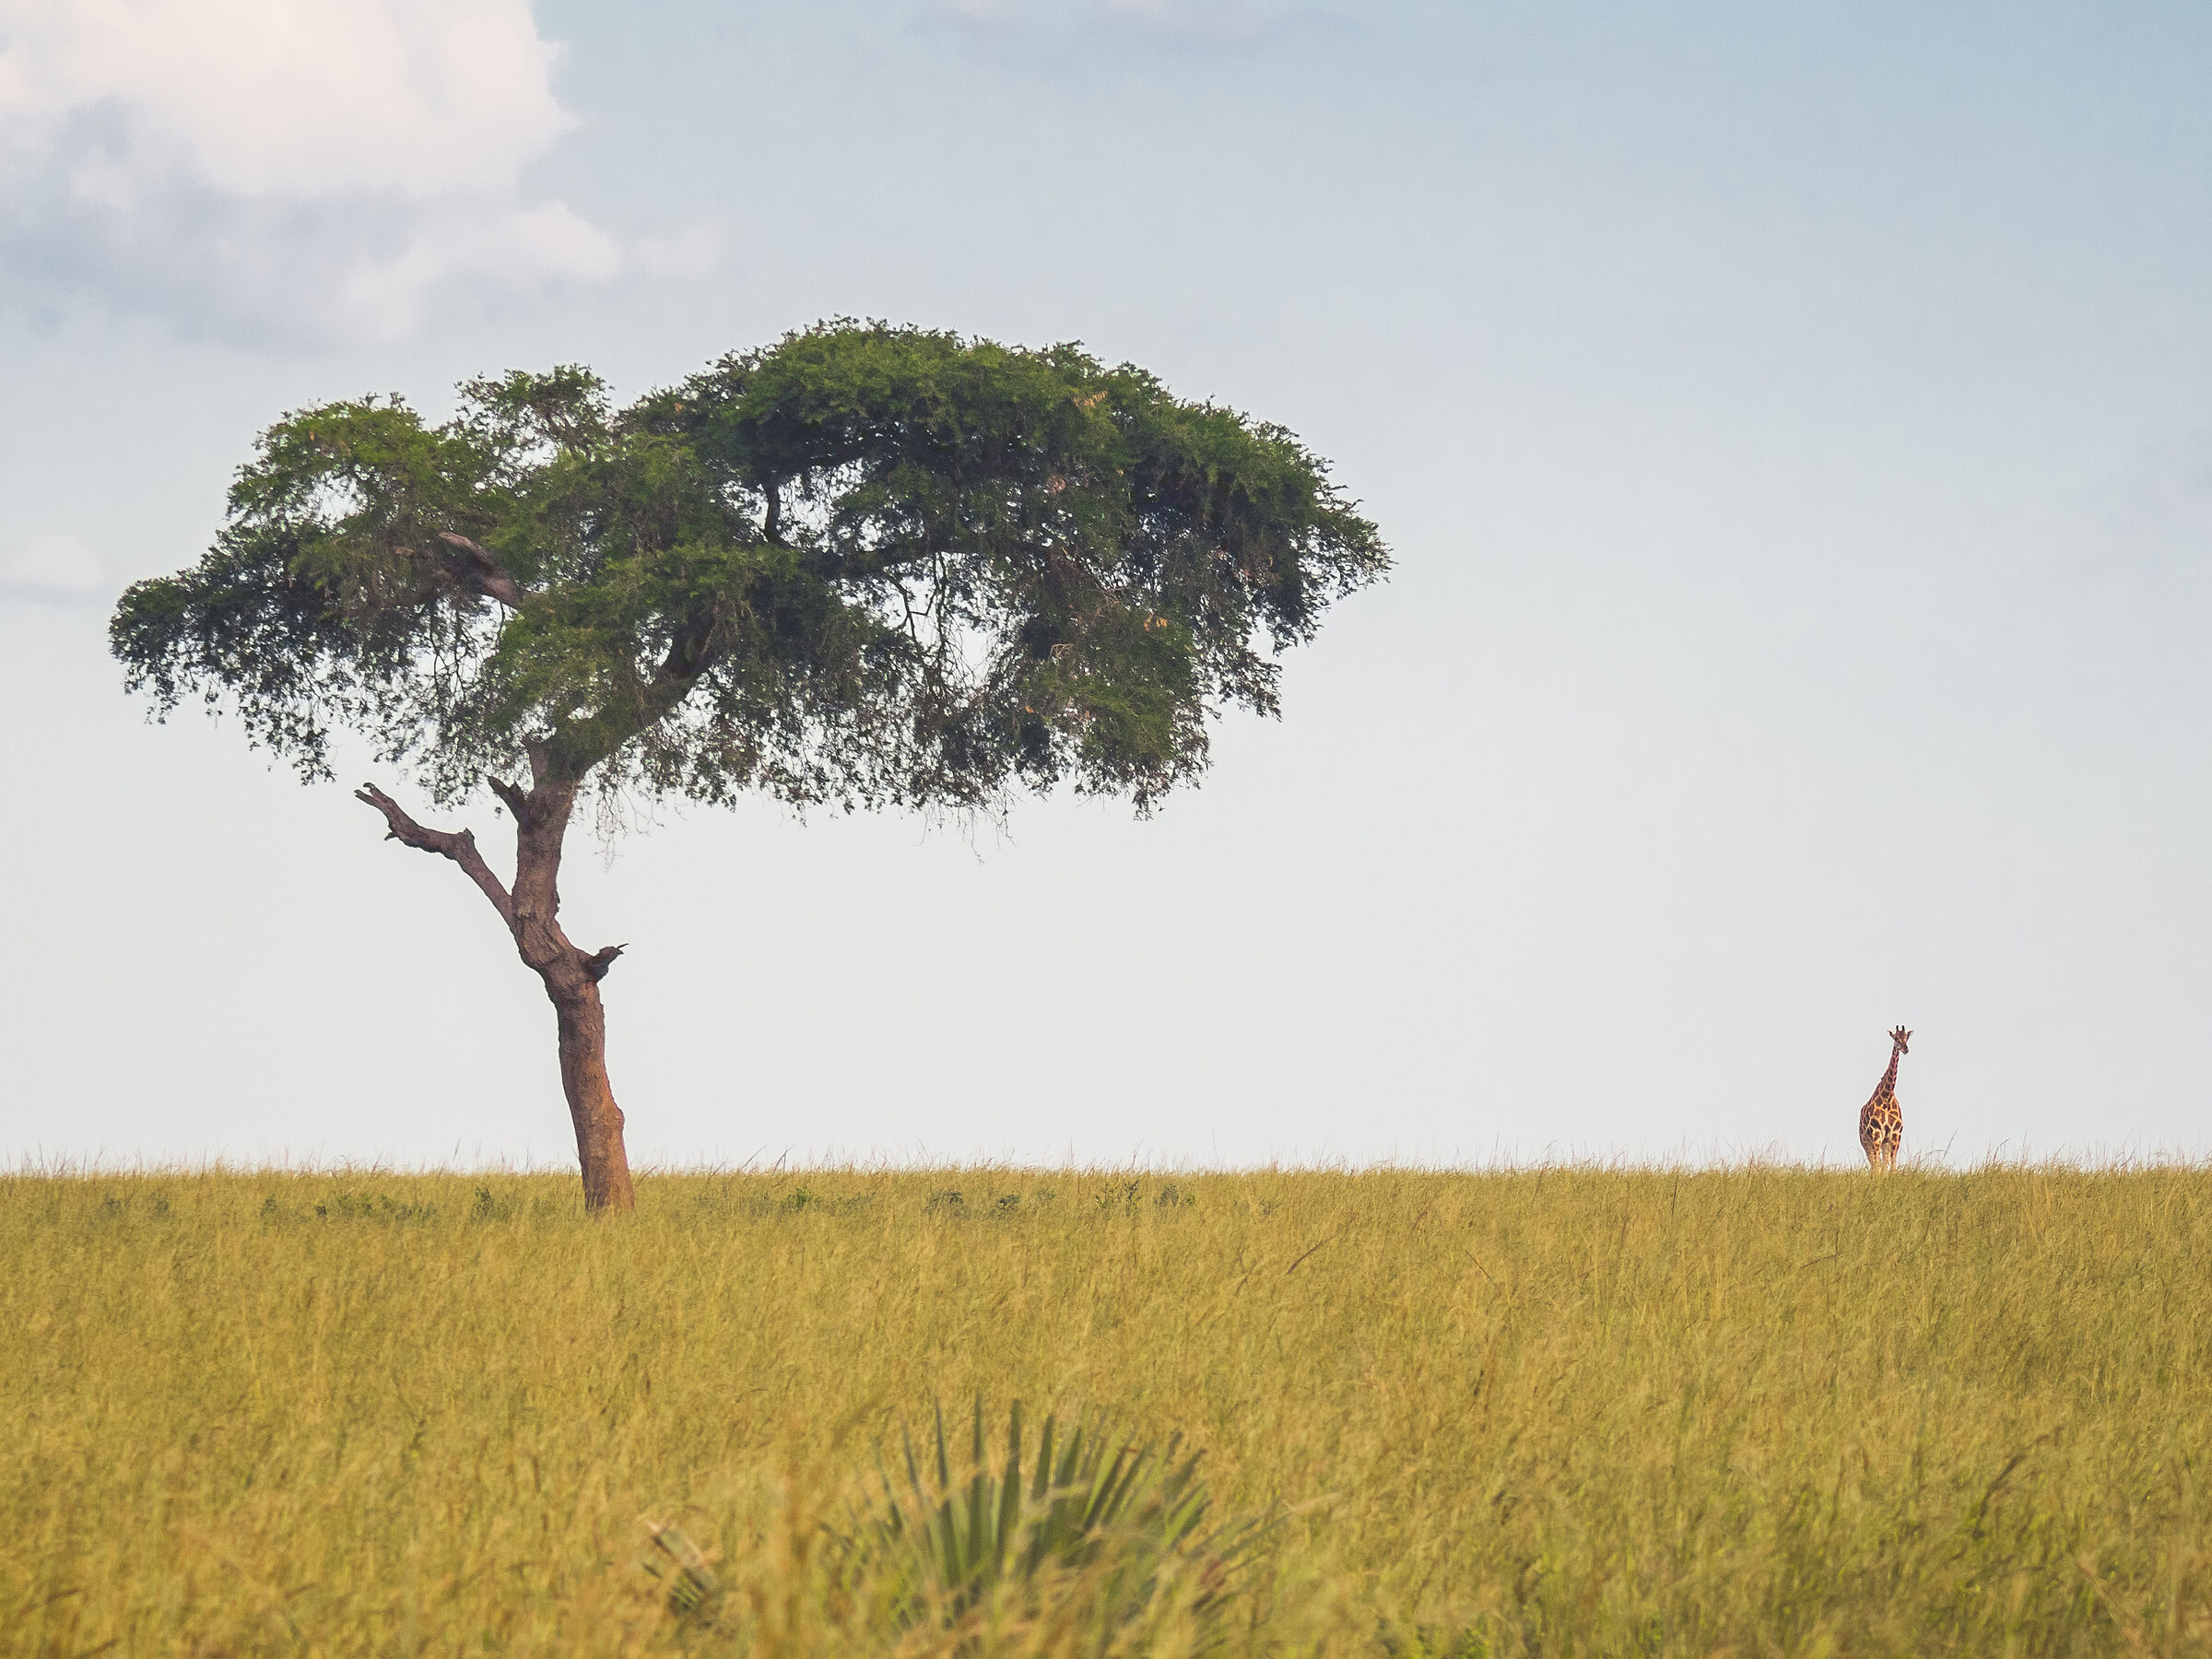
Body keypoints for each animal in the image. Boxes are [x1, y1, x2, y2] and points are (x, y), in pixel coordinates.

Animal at [1857, 1026, 1911, 1170]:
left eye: (1906, 1037)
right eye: (1896, 1038)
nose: (1905, 1049)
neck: (1887, 1096)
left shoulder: (1895, 1135)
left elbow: (1891, 1164)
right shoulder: (1876, 1134)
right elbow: (1878, 1165)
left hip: (1884, 1142)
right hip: (1866, 1141)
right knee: (1874, 1164)